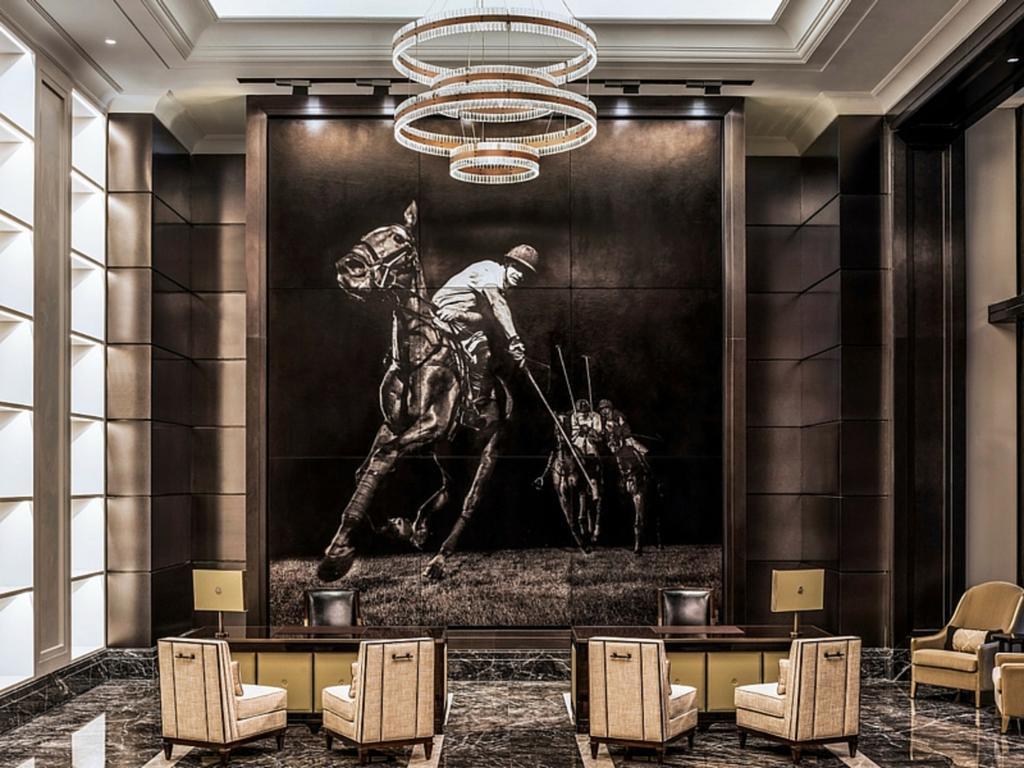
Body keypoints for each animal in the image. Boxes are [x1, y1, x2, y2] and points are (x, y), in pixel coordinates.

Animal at [316, 201, 512, 583]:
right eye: (369, 233)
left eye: (399, 238)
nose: (349, 269)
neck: (414, 357)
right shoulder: (394, 425)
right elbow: (367, 468)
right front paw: (397, 527)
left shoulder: (431, 423)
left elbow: (384, 458)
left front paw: (336, 555)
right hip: (447, 451)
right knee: (448, 490)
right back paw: (420, 530)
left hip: (487, 451)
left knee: (468, 503)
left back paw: (438, 561)